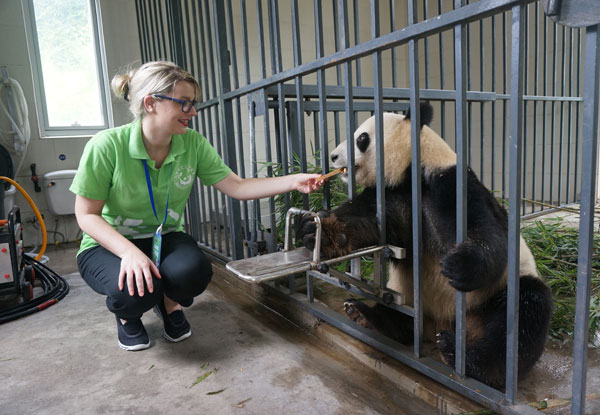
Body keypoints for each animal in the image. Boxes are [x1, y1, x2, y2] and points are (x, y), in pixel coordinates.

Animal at [298, 102, 556, 388]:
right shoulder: (393, 195)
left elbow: (487, 232)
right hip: (409, 294)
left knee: (524, 312)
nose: (333, 156)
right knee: (400, 316)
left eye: (361, 138)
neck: (413, 170)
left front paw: (459, 265)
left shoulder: (450, 185)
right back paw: (366, 315)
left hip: (492, 294)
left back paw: (466, 358)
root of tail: (444, 324)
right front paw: (318, 232)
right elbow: (367, 223)